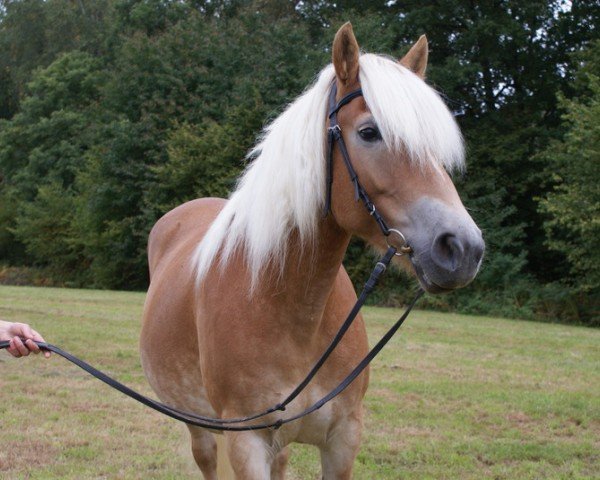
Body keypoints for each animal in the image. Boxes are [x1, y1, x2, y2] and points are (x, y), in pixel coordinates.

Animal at [139, 23, 482, 480]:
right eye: (369, 132)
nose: (463, 248)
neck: (290, 306)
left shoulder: (343, 438)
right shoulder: (247, 445)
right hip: (201, 429)